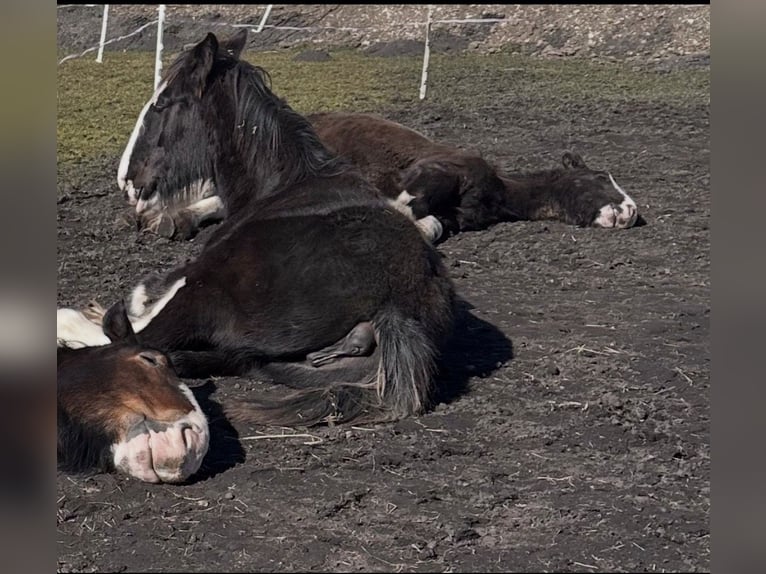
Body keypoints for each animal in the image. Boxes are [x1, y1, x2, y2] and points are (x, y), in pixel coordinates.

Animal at [59, 32, 455, 440]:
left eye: (162, 105)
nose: (126, 179)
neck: (281, 185)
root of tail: (398, 310)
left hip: (203, 293)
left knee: (128, 338)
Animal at [116, 29, 638, 241]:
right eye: (600, 179)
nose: (630, 210)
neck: (498, 189)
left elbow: (429, 224)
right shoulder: (430, 173)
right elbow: (408, 209)